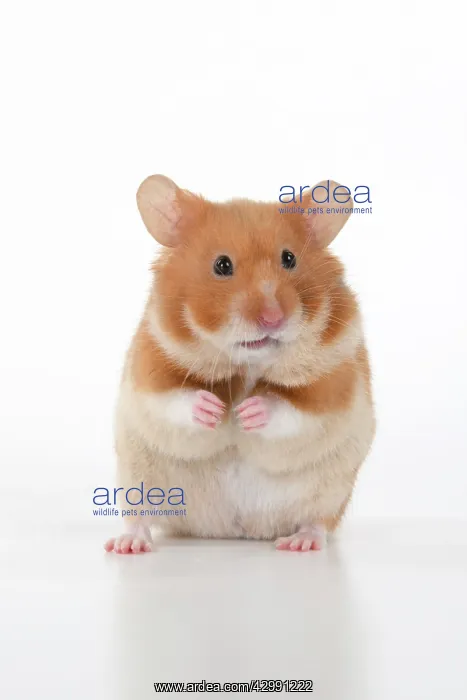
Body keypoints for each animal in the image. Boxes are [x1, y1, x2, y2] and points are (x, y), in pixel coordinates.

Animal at [104, 175, 375, 554]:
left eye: (289, 258)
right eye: (222, 265)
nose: (273, 319)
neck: (248, 364)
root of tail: (234, 530)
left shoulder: (335, 385)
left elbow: (292, 410)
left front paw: (246, 413)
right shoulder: (149, 370)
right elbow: (174, 400)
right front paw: (216, 409)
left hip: (331, 492)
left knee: (317, 522)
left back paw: (299, 543)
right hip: (138, 477)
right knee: (138, 517)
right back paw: (128, 544)